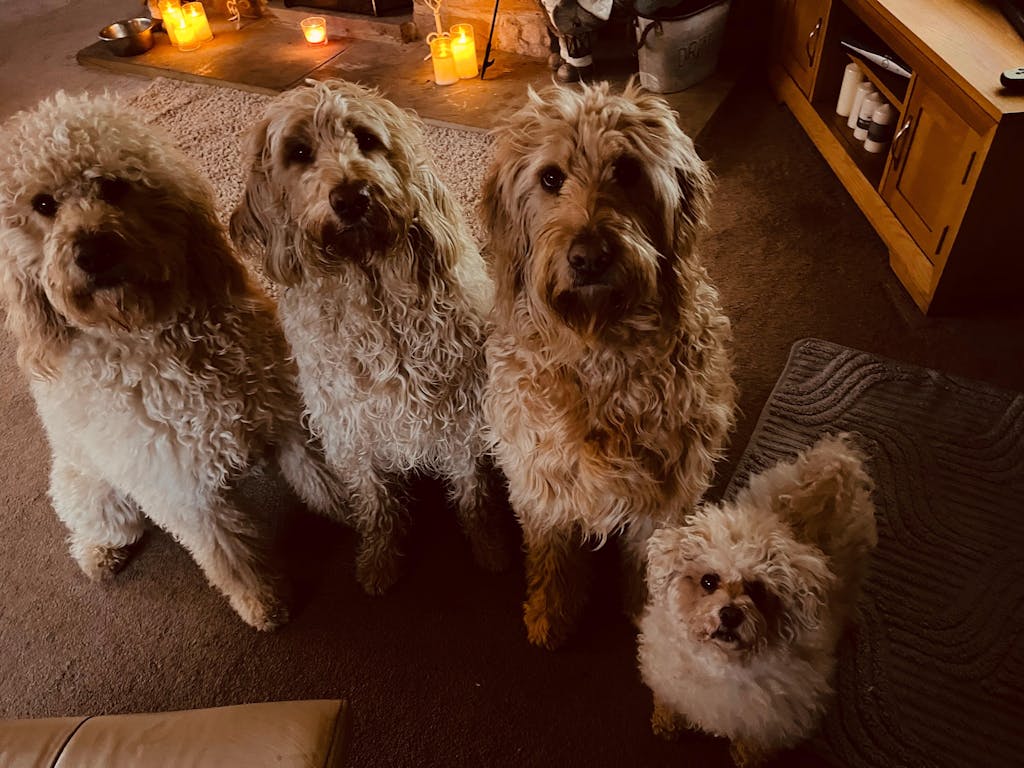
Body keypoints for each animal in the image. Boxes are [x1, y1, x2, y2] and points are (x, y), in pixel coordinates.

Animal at [0, 92, 346, 631]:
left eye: (113, 185)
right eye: (43, 204)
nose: (92, 250)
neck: (153, 336)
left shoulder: (283, 411)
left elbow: (321, 475)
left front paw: (355, 515)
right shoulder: (177, 488)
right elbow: (228, 556)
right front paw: (263, 602)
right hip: (97, 496)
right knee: (99, 527)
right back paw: (97, 555)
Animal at [230, 79, 508, 595]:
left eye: (365, 138)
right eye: (298, 152)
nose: (352, 196)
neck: (372, 290)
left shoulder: (458, 416)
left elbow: (471, 490)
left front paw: (488, 543)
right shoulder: (350, 426)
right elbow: (375, 501)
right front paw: (380, 559)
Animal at [480, 80, 736, 649]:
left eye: (627, 171)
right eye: (551, 177)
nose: (590, 257)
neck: (599, 346)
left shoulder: (667, 491)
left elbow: (651, 558)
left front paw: (649, 612)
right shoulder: (539, 476)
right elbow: (551, 553)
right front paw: (551, 612)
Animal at [638, 434, 879, 766]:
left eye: (759, 590)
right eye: (708, 581)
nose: (730, 614)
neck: (718, 666)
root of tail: (829, 467)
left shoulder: (776, 718)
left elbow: (755, 744)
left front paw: (746, 759)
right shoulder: (670, 677)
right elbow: (669, 701)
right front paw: (666, 723)